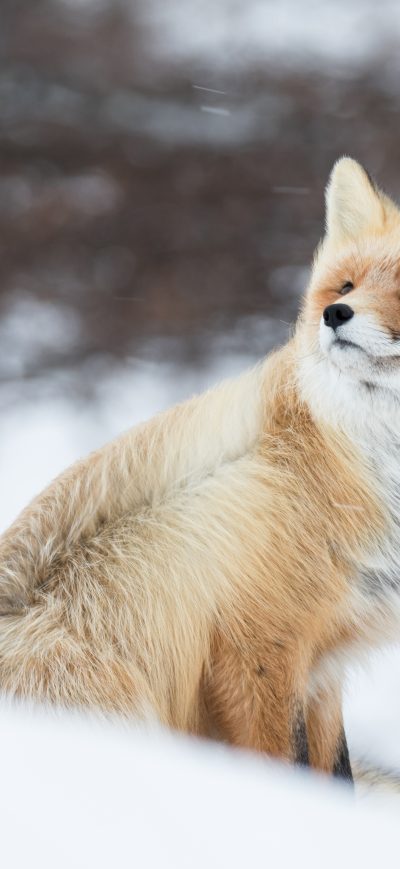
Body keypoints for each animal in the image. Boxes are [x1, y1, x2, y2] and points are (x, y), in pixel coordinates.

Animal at [1, 156, 400, 783]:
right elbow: (288, 767)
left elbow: (337, 776)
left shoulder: (323, 665)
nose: (336, 315)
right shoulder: (255, 651)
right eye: (347, 287)